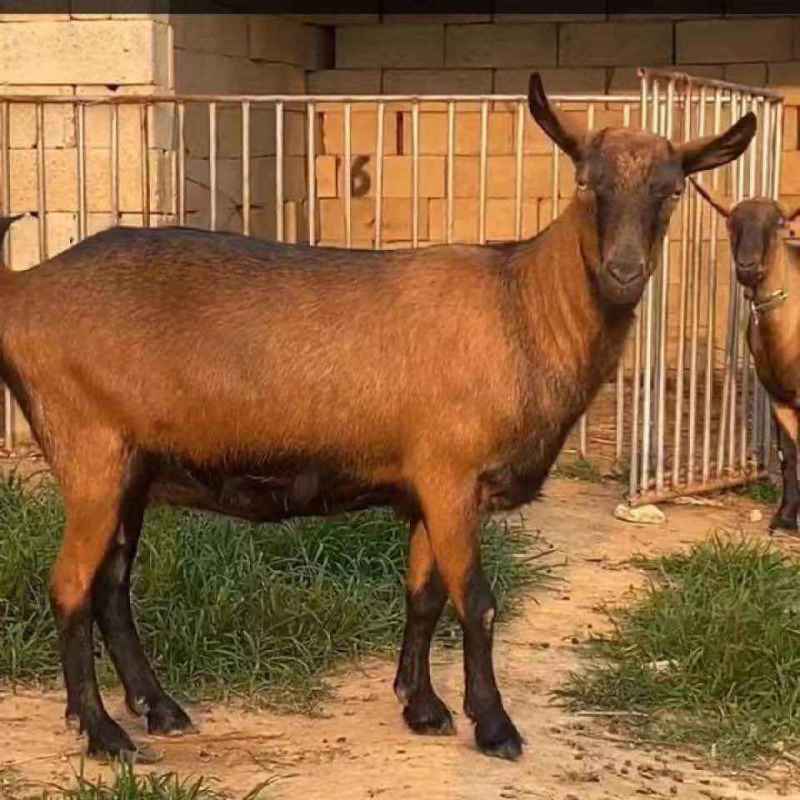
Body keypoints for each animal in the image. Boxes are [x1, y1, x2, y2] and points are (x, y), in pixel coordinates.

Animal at [0, 74, 754, 764]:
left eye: (672, 191)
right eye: (586, 183)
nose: (624, 272)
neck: (520, 306)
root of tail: (23, 291)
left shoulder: (429, 485)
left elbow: (423, 594)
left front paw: (421, 706)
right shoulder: (451, 474)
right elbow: (477, 601)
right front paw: (495, 726)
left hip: (132, 469)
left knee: (111, 586)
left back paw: (159, 708)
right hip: (90, 452)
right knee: (70, 585)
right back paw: (104, 734)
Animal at [691, 179, 800, 532]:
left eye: (779, 224)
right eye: (731, 222)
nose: (748, 267)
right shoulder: (778, 395)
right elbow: (789, 453)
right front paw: (785, 517)